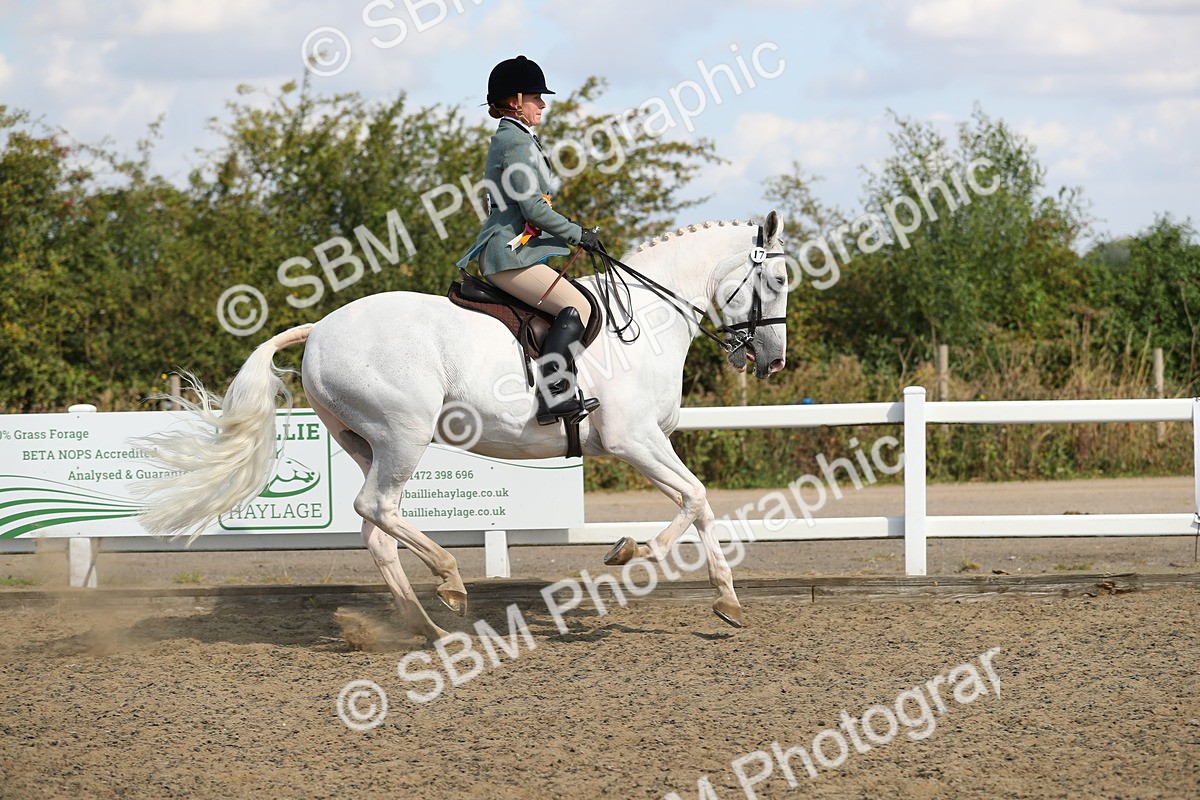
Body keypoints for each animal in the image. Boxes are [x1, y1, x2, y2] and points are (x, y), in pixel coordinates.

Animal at [135, 211, 789, 643]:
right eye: (779, 282)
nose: (773, 361)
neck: (648, 321)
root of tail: (320, 328)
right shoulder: (633, 441)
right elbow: (695, 497)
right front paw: (633, 550)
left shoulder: (653, 442)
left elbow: (699, 502)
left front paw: (727, 601)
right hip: (403, 433)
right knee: (377, 507)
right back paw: (449, 581)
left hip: (363, 442)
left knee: (375, 528)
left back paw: (423, 625)